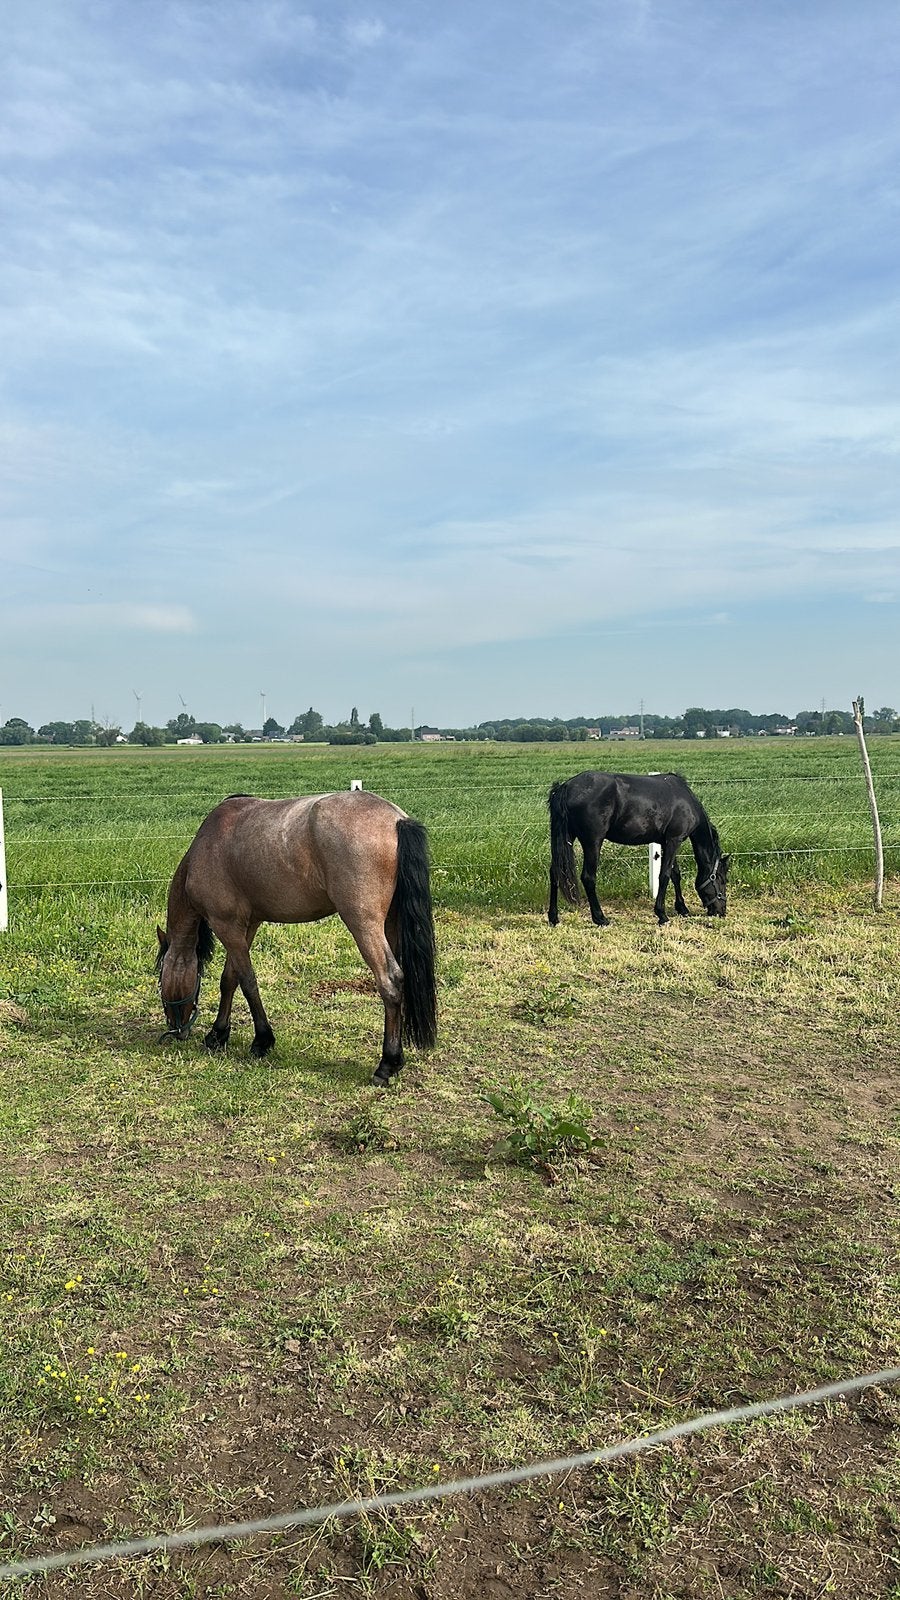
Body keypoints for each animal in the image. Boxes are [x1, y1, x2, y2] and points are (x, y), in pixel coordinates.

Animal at [156, 791, 437, 1085]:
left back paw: (387, 1064)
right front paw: (218, 1034)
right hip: (392, 923)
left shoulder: (226, 926)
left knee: (390, 981)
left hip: (364, 925)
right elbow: (229, 979)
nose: (176, 1031)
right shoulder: (247, 926)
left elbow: (247, 981)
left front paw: (262, 1040)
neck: (206, 846)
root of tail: (396, 819)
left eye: (160, 980)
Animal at [548, 771, 729, 927]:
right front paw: (662, 915)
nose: (722, 911)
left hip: (565, 838)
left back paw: (553, 918)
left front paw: (682, 908)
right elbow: (664, 875)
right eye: (722, 880)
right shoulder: (674, 841)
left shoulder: (666, 842)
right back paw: (600, 918)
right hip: (593, 842)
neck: (685, 799)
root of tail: (565, 787)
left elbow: (675, 875)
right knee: (588, 877)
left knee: (555, 872)